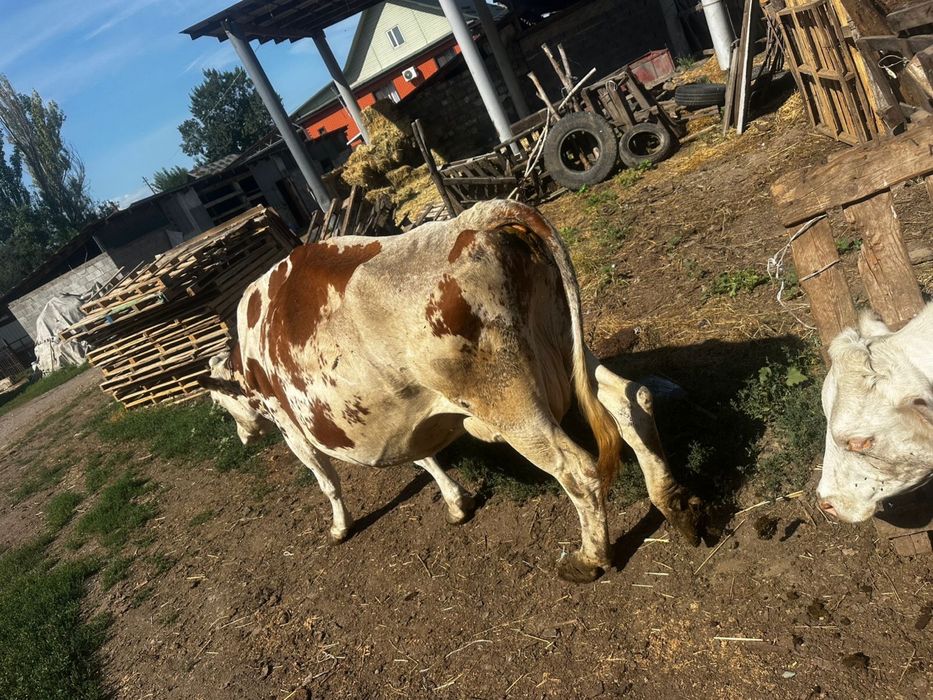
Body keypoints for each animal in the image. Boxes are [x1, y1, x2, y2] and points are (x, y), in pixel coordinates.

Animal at [200, 200, 703, 583]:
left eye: (220, 404)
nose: (243, 438)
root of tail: (477, 218)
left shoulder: (290, 426)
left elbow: (327, 481)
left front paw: (340, 528)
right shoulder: (401, 409)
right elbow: (423, 457)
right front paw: (458, 504)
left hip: (510, 404)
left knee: (577, 470)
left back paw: (589, 559)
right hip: (567, 347)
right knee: (631, 402)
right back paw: (675, 505)